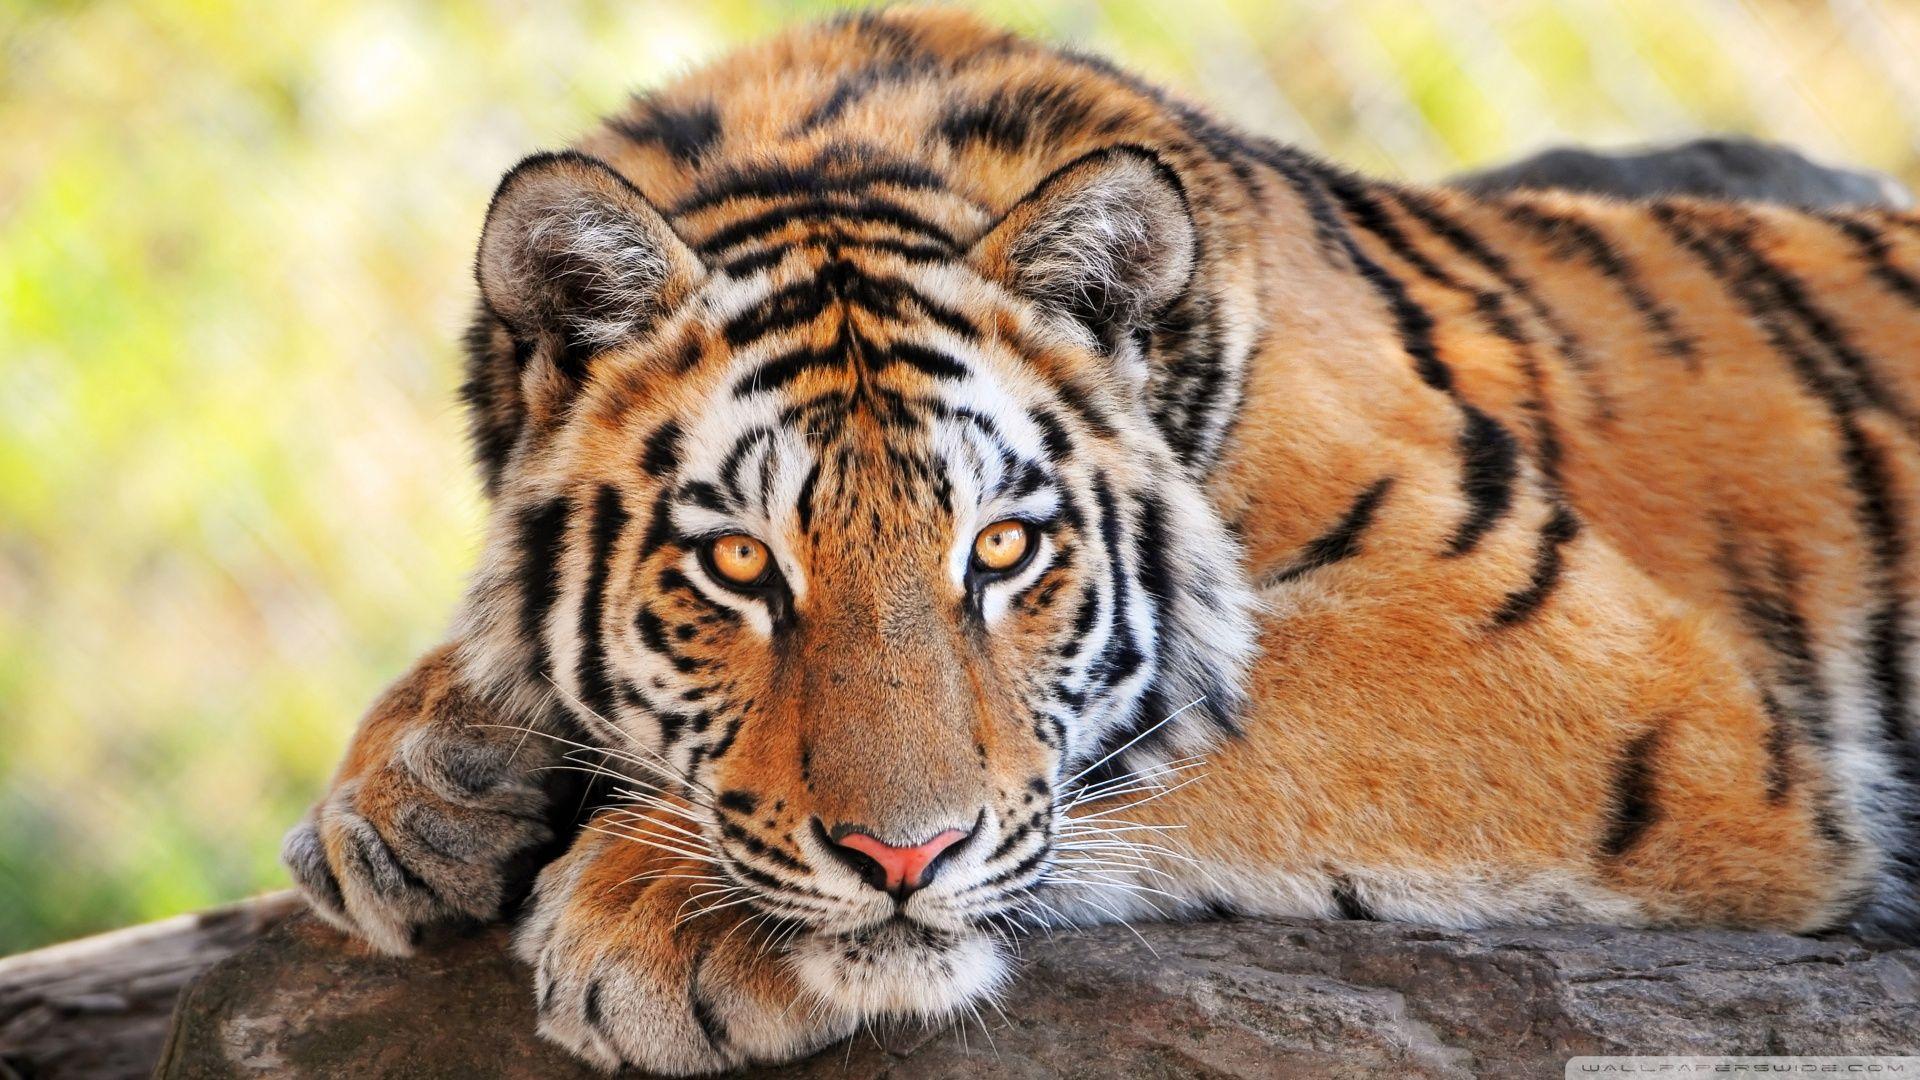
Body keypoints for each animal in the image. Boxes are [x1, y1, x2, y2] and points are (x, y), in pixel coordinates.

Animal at [279, 8, 1920, 1074]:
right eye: (739, 566)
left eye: (1002, 551)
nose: (901, 857)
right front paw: (415, 790)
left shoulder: (1593, 668)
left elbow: (1162, 738)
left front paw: (656, 914)